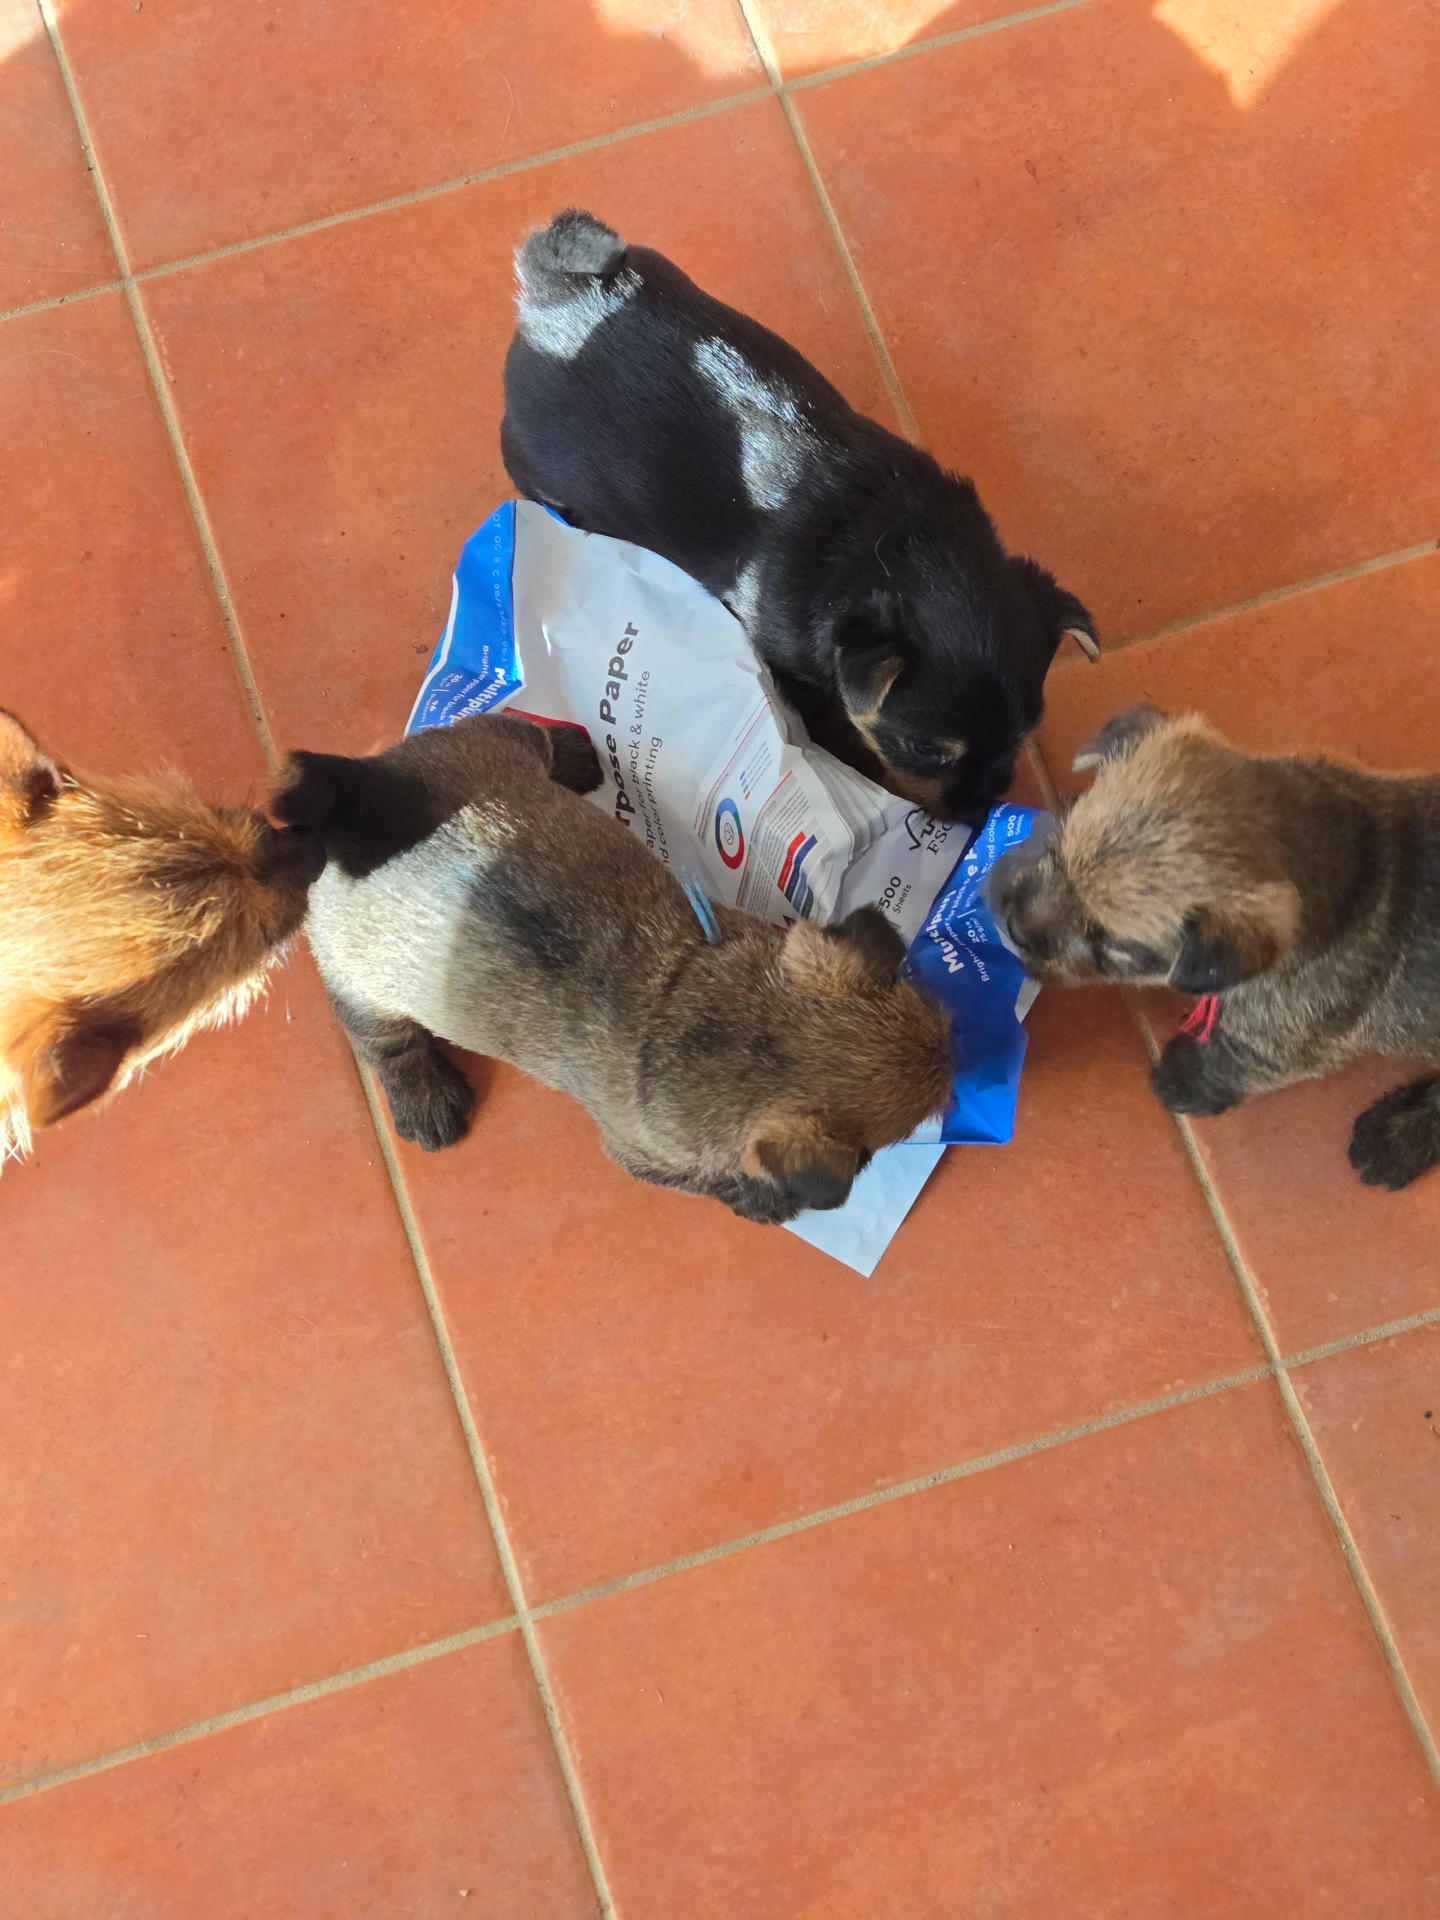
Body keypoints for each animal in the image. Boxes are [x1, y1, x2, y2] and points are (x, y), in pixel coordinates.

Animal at [272, 713, 952, 1223]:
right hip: (362, 980)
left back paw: (571, 755)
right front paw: (761, 1200)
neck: (693, 1005)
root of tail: (356, 816)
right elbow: (717, 1182)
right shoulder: (649, 1157)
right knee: (381, 1039)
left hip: (487, 746)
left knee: (526, 733)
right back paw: (423, 1097)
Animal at [500, 209, 1097, 826]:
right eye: (926, 749)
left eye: (1024, 734)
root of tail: (552, 289)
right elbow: (831, 723)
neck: (890, 535)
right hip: (538, 462)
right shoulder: (796, 667)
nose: (975, 816)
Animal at [988, 704, 1440, 1189]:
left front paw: (1180, 1078)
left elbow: (1227, 1061)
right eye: (1055, 852)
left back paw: (1392, 1140)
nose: (1012, 927)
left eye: (1108, 941)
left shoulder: (1279, 1040)